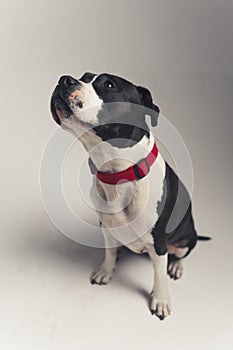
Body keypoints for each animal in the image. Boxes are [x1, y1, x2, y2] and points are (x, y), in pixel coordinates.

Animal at [50, 72, 209, 322]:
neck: (118, 174)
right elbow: (108, 252)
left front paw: (160, 299)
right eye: (84, 76)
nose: (64, 79)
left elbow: (159, 275)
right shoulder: (106, 227)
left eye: (108, 84)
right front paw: (106, 270)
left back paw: (176, 266)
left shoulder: (159, 241)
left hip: (186, 239)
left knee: (179, 254)